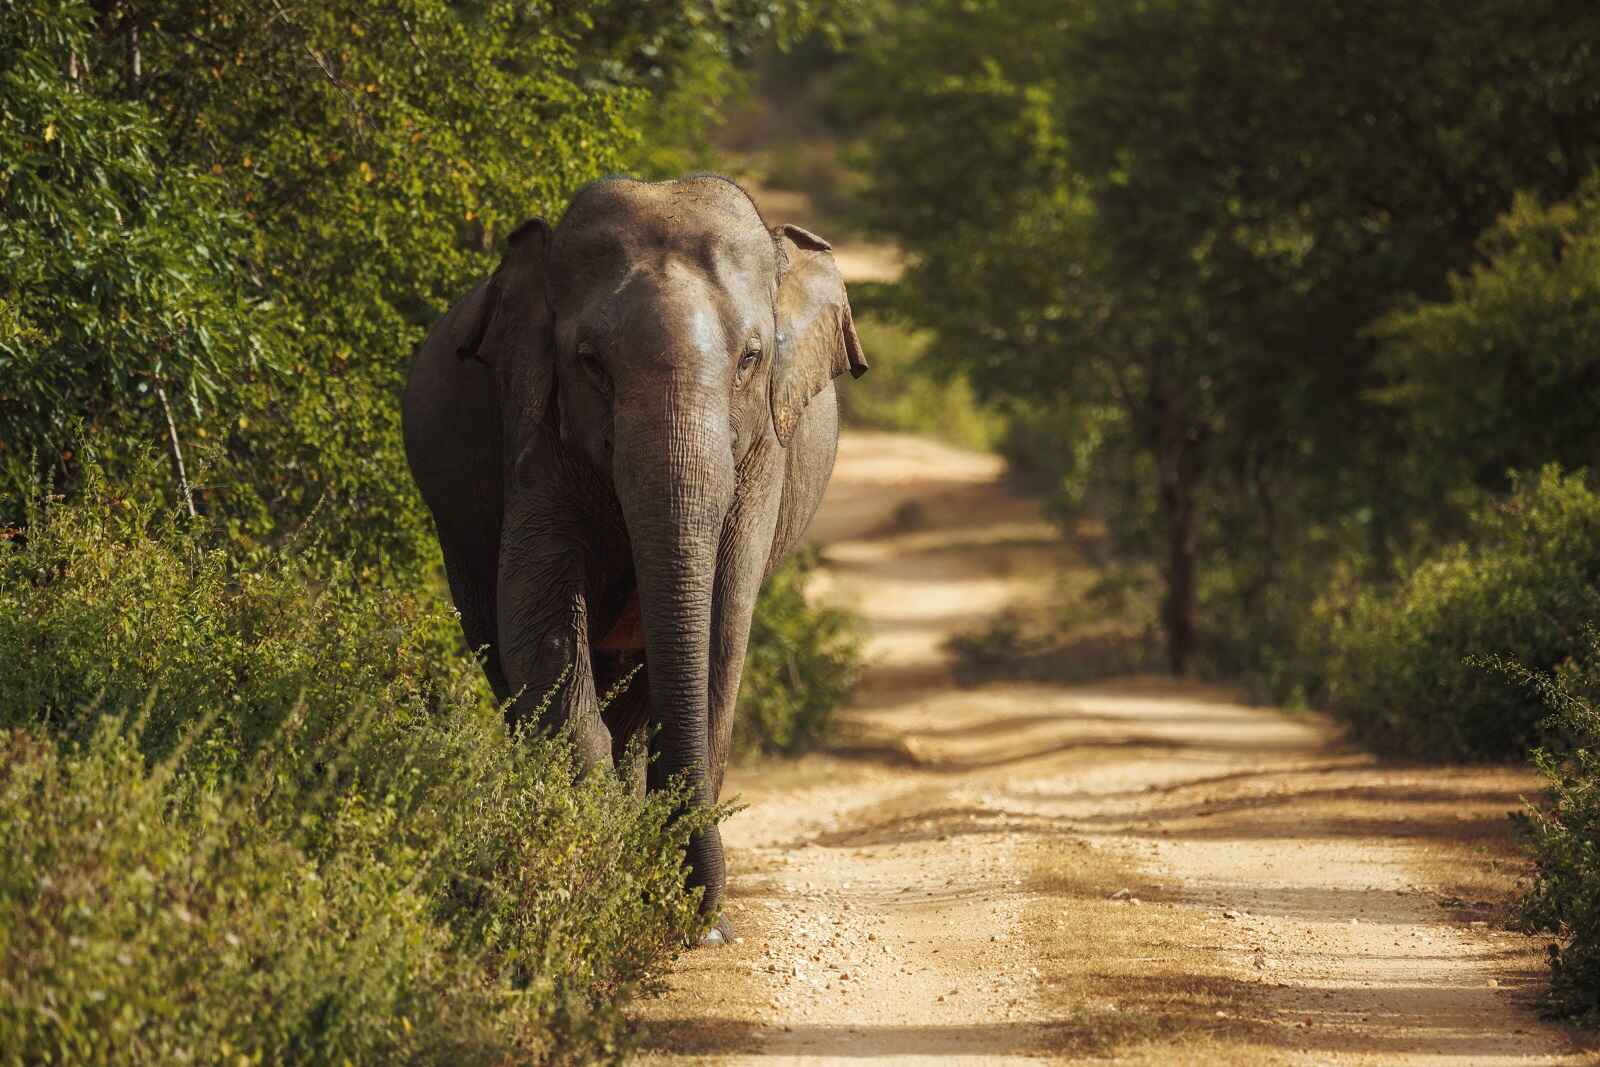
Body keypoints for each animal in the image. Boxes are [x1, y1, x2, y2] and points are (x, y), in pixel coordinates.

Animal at [401, 174, 867, 941]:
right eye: (590, 361)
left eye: (751, 358)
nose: (706, 920)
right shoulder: (536, 432)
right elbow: (540, 628)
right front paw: (596, 863)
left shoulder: (764, 452)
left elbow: (721, 626)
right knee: (501, 650)